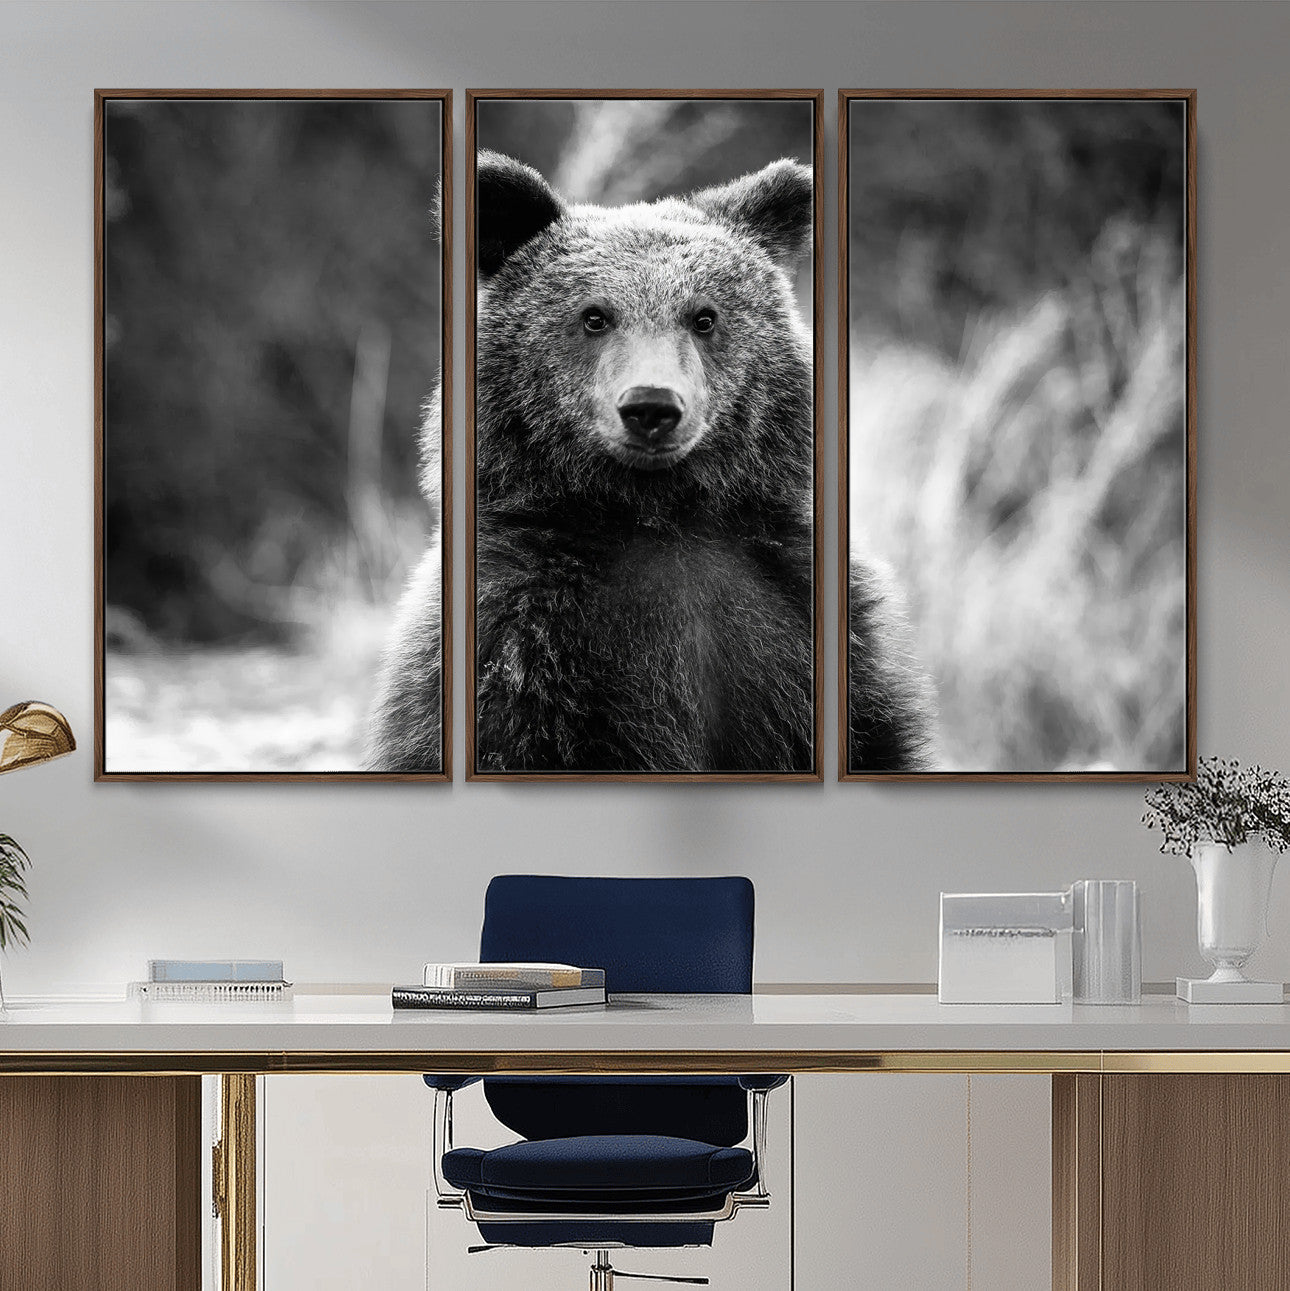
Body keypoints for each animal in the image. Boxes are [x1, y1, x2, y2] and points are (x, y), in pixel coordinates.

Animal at [367, 150, 931, 774]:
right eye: (594, 316)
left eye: (704, 316)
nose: (651, 406)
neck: (657, 513)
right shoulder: (521, 639)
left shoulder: (796, 613)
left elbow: (874, 734)